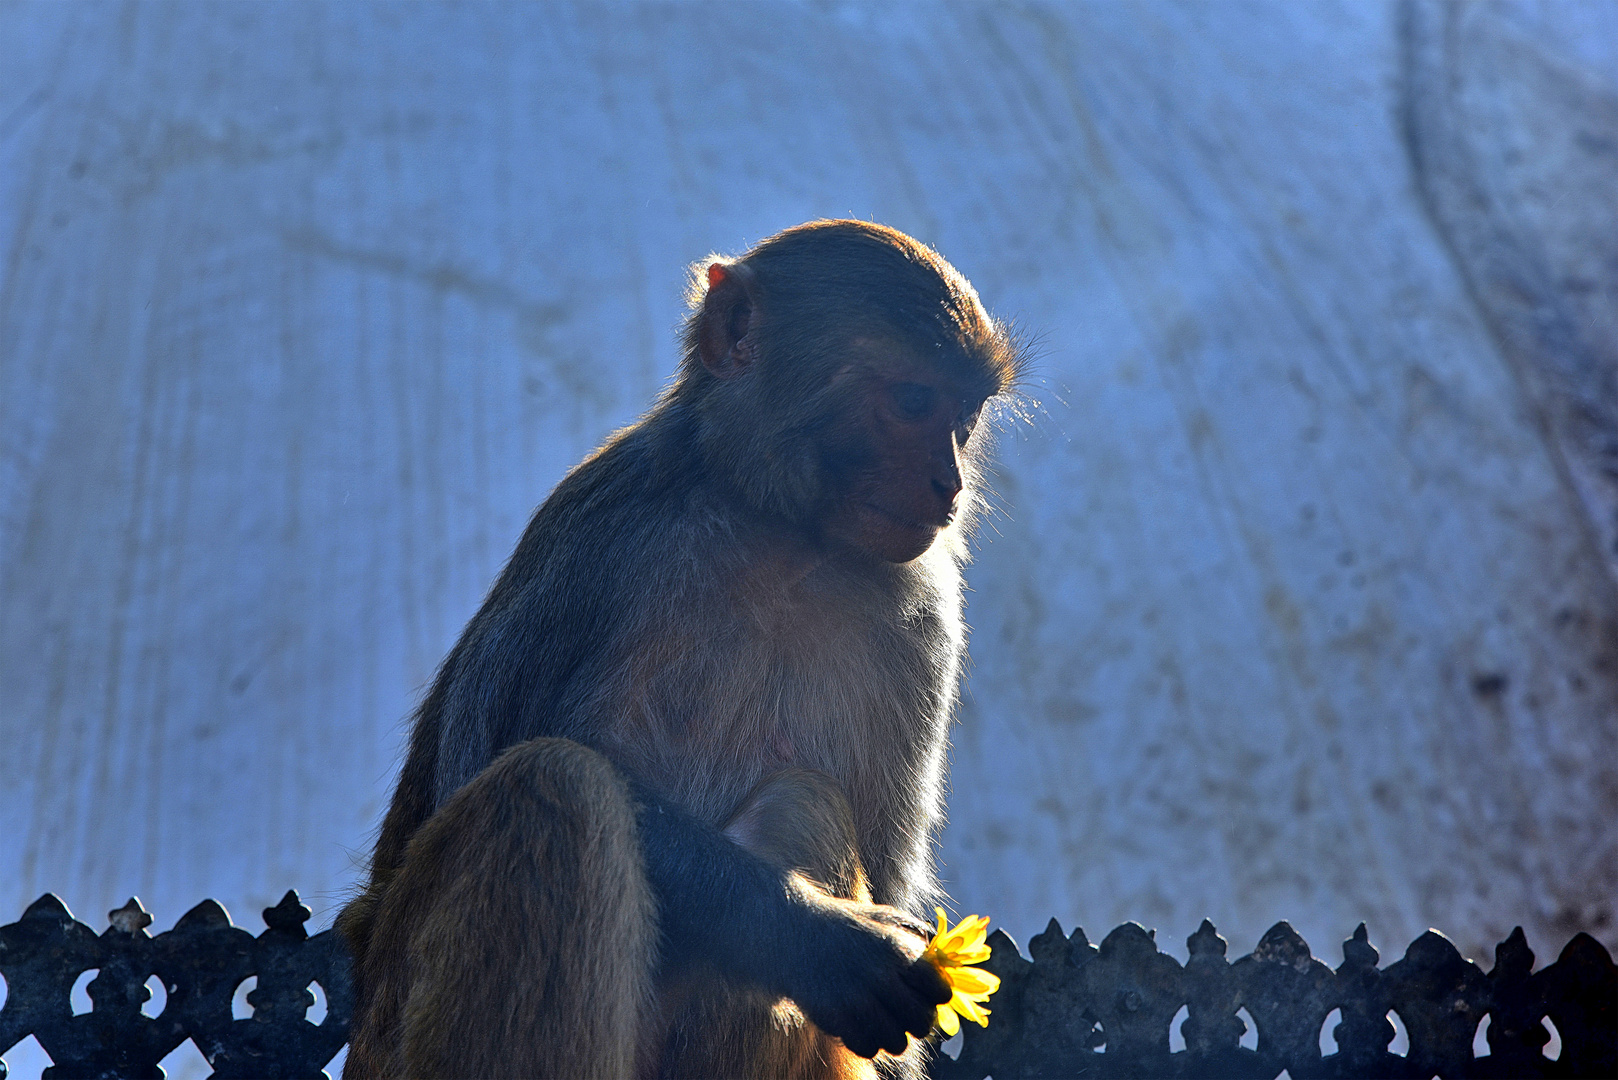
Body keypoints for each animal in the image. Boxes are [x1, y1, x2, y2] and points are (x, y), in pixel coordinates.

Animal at [339, 221, 1022, 1080]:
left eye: (964, 415)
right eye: (912, 403)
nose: (949, 483)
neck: (782, 531)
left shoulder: (927, 610)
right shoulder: (603, 530)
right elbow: (487, 760)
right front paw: (813, 937)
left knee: (800, 807)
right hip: (394, 1033)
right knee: (548, 786)